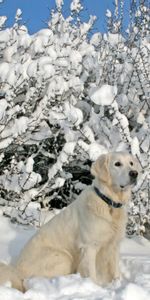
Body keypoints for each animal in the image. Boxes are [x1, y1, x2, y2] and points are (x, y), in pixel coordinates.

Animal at [0, 152, 140, 290]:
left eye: (131, 163)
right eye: (117, 164)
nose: (134, 173)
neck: (109, 203)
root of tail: (16, 271)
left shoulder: (114, 244)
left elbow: (115, 270)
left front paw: (117, 283)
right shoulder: (89, 246)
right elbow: (92, 273)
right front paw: (96, 287)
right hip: (63, 257)